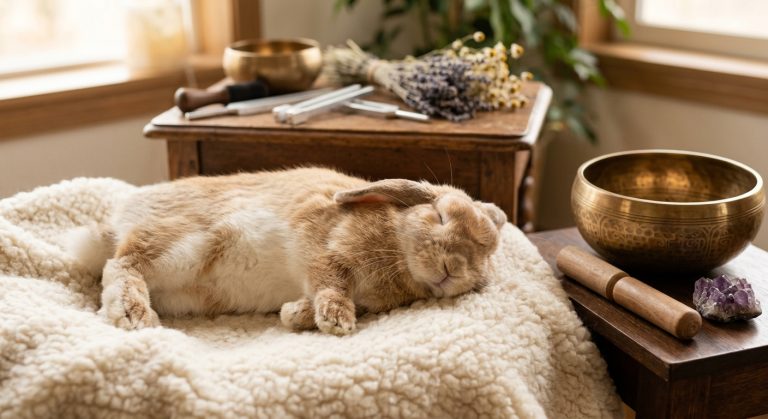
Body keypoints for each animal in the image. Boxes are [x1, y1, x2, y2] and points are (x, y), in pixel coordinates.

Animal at [92, 167, 507, 335]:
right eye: (439, 216)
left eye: (484, 253)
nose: (453, 267)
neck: (397, 247)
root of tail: (119, 220)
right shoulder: (322, 247)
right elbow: (331, 283)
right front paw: (337, 321)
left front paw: (293, 314)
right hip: (178, 246)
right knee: (121, 266)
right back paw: (133, 315)